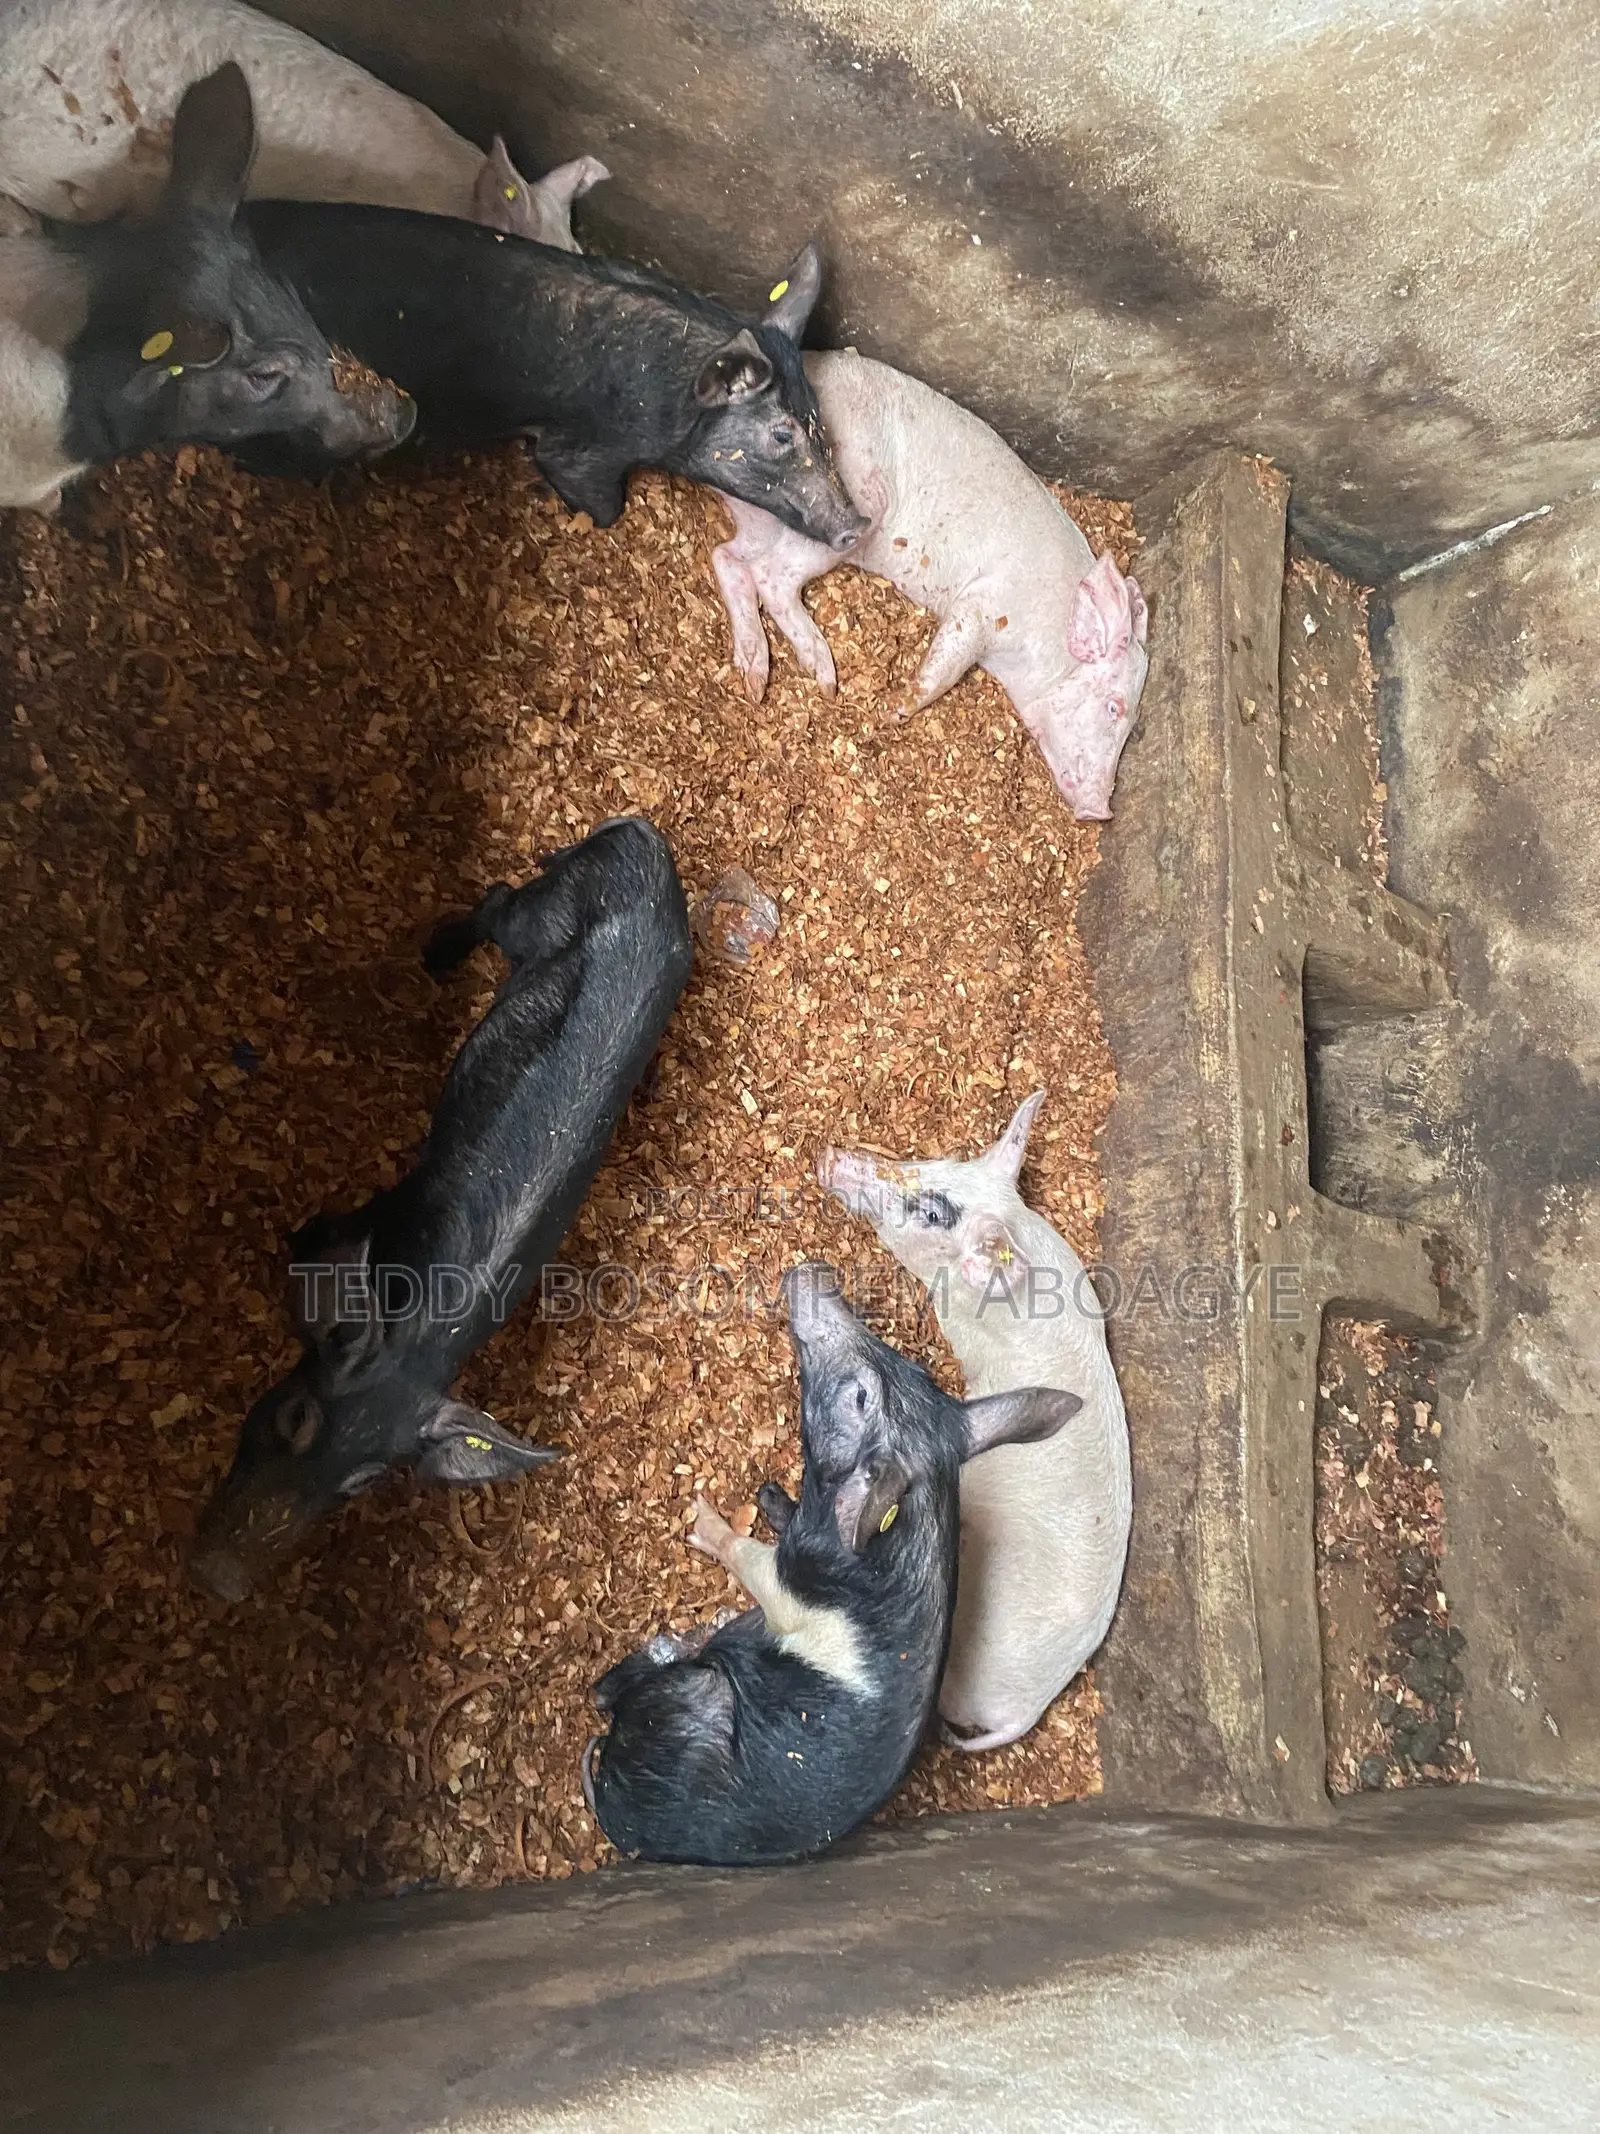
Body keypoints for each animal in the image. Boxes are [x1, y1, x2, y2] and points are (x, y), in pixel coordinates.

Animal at [190, 817, 693, 1603]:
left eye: (363, 1483)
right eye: (296, 1417)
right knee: (498, 898)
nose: (218, 1583)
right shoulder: (369, 1211)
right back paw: (434, 958)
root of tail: (643, 839)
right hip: (539, 915)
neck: (420, 1340)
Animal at [234, 204, 866, 547]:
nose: (858, 526)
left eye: (822, 424)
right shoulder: (591, 445)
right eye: (782, 434)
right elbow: (602, 503)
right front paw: (542, 491)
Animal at [582, 1262, 1081, 1865]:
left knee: (623, 1689)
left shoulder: (786, 1588)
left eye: (860, 1397)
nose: (811, 1271)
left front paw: (701, 1520)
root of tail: (621, 1820)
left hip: (694, 1695)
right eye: (911, 1365)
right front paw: (769, 1495)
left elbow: (748, 1557)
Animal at [709, 351, 1149, 820]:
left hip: (760, 519)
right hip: (855, 505)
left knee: (727, 557)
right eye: (1114, 707)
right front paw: (890, 712)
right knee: (769, 575)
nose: (1100, 810)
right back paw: (825, 677)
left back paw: (754, 680)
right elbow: (945, 665)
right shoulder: (986, 604)